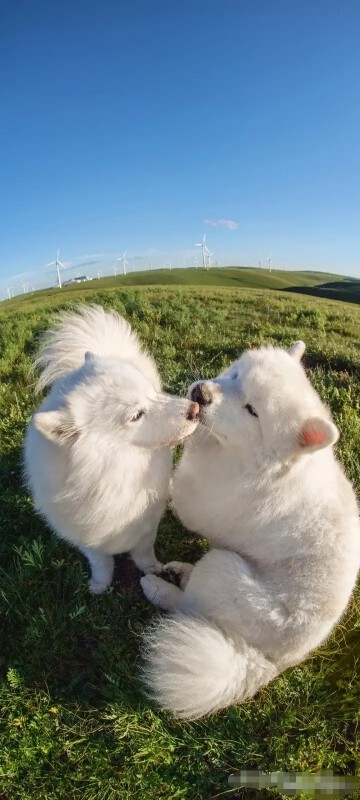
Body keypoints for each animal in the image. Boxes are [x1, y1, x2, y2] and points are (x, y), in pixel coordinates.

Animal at [24, 306, 200, 592]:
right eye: (136, 415)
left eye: (152, 394)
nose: (194, 409)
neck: (113, 476)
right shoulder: (87, 538)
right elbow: (101, 562)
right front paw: (99, 585)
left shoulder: (146, 526)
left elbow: (144, 553)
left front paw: (153, 570)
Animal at [141, 342, 360, 720]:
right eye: (235, 374)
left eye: (252, 411)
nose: (201, 393)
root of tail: (275, 663)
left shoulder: (197, 505)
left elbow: (170, 491)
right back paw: (179, 571)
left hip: (222, 567)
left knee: (186, 605)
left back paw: (158, 586)